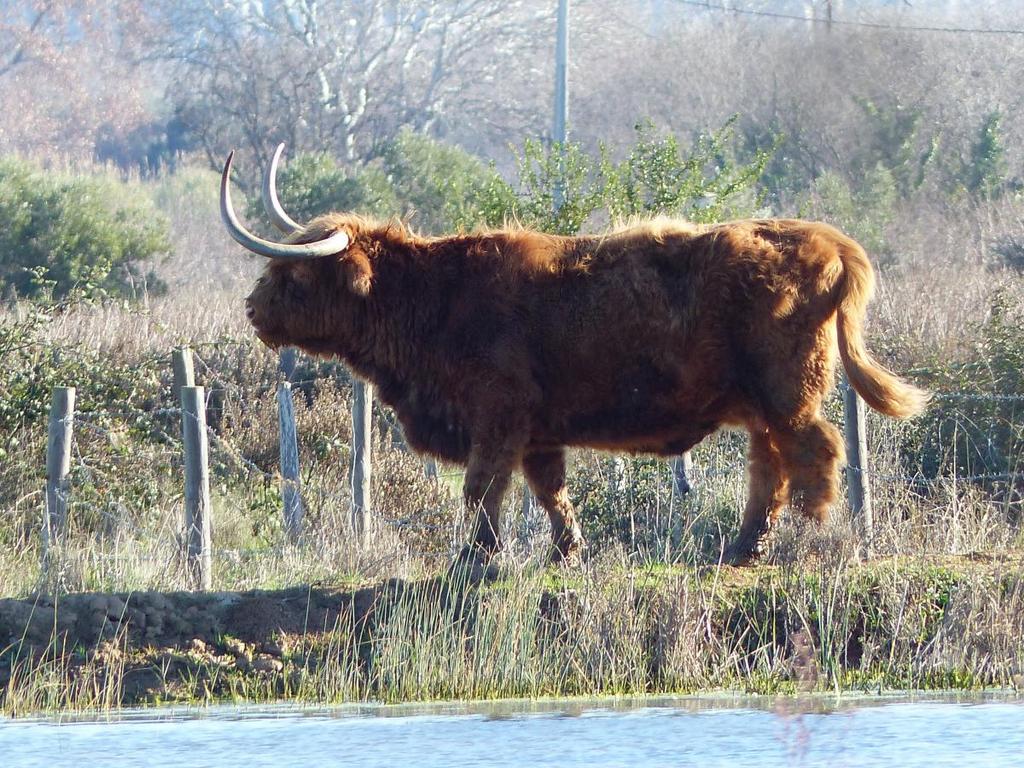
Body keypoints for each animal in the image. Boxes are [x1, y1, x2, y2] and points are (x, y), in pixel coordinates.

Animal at [218, 147, 929, 565]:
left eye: (294, 276)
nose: (253, 309)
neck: (435, 297)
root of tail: (825, 239)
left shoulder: (497, 415)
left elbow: (482, 488)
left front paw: (474, 561)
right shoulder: (537, 432)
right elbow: (549, 490)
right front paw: (565, 552)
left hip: (788, 389)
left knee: (815, 450)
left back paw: (807, 534)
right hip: (759, 405)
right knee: (770, 466)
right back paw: (740, 548)